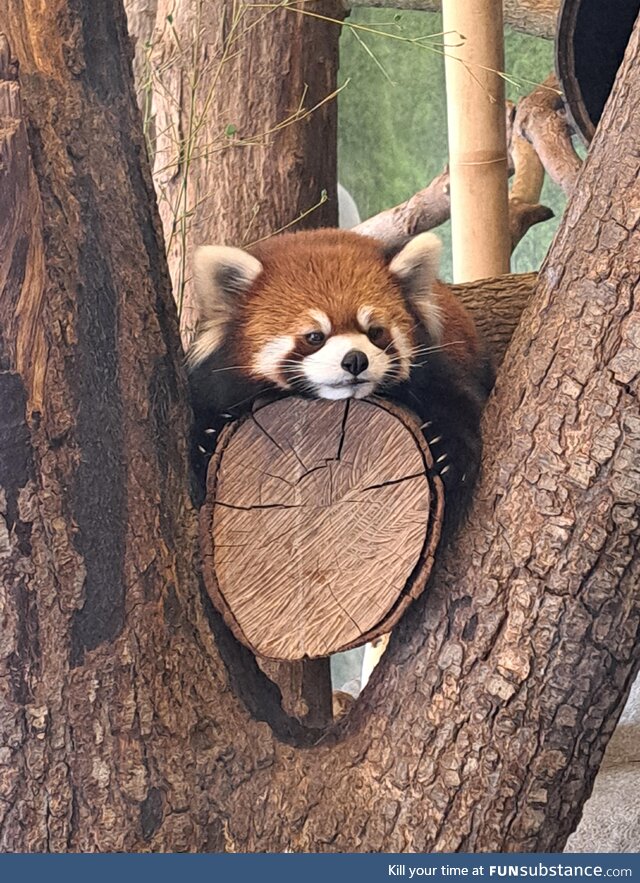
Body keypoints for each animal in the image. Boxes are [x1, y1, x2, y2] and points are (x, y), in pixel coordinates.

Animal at [188, 228, 492, 540]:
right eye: (314, 336)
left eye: (375, 332)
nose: (355, 360)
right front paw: (208, 438)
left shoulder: (441, 370)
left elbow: (458, 404)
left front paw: (447, 449)